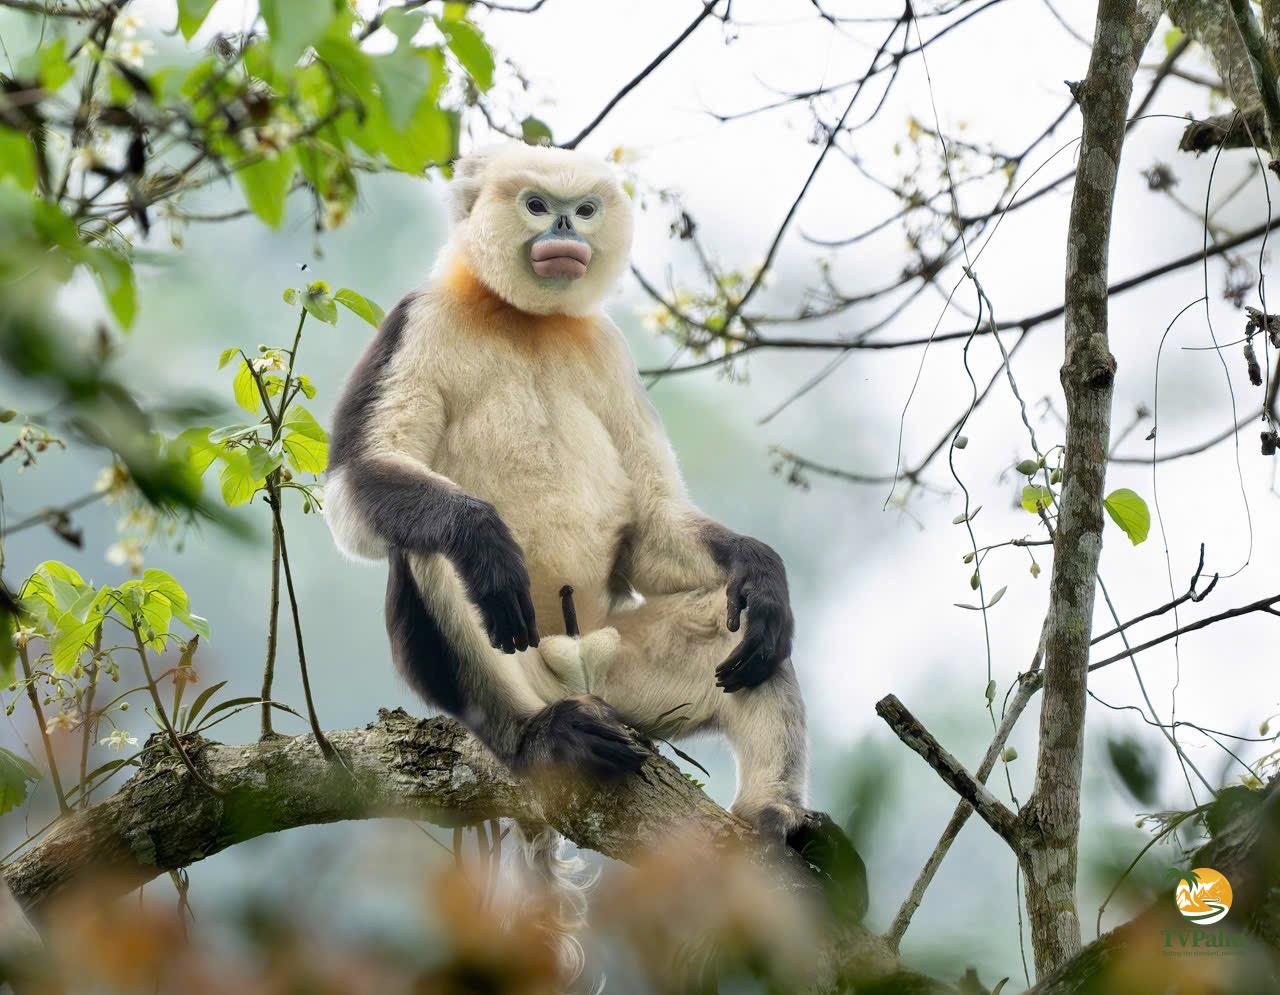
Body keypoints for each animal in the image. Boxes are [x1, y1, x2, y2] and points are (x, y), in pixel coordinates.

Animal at [324, 143, 865, 892]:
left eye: (582, 210)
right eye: (536, 205)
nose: (564, 231)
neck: (525, 319)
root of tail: (573, 667)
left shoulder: (607, 347)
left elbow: (652, 521)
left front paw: (760, 569)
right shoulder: (417, 318)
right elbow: (357, 483)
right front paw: (483, 540)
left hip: (626, 676)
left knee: (754, 635)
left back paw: (775, 821)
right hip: (529, 668)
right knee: (434, 551)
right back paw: (540, 736)